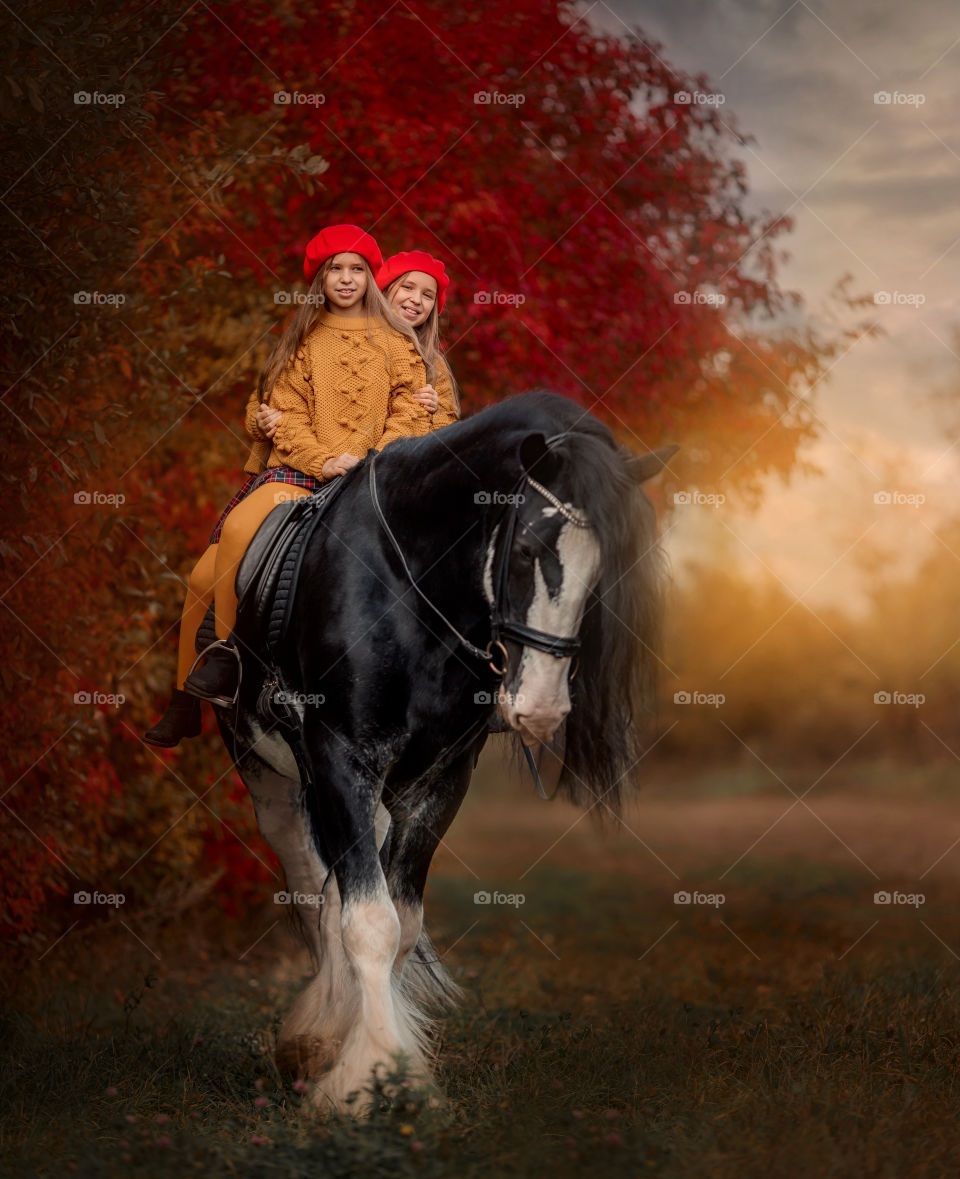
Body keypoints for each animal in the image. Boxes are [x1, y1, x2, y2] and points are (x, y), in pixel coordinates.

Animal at [214, 391, 674, 1108]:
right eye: (526, 549)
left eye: (604, 571)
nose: (543, 707)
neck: (411, 592)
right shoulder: (339, 759)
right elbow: (366, 921)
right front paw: (374, 1078)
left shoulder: (440, 779)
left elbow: (397, 921)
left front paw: (377, 1060)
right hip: (268, 774)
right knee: (312, 886)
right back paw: (312, 1037)